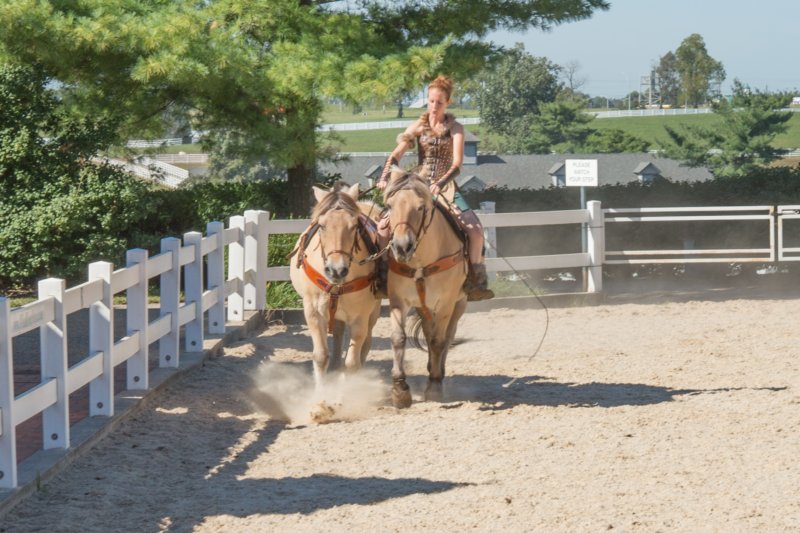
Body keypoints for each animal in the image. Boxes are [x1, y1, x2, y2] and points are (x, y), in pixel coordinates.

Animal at [382, 170, 468, 408]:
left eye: (421, 207)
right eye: (389, 205)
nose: (402, 247)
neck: (422, 261)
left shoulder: (446, 303)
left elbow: (439, 341)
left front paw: (435, 387)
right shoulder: (398, 301)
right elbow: (398, 337)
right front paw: (400, 389)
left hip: (459, 304)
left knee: (446, 336)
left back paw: (438, 373)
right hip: (424, 307)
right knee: (429, 334)